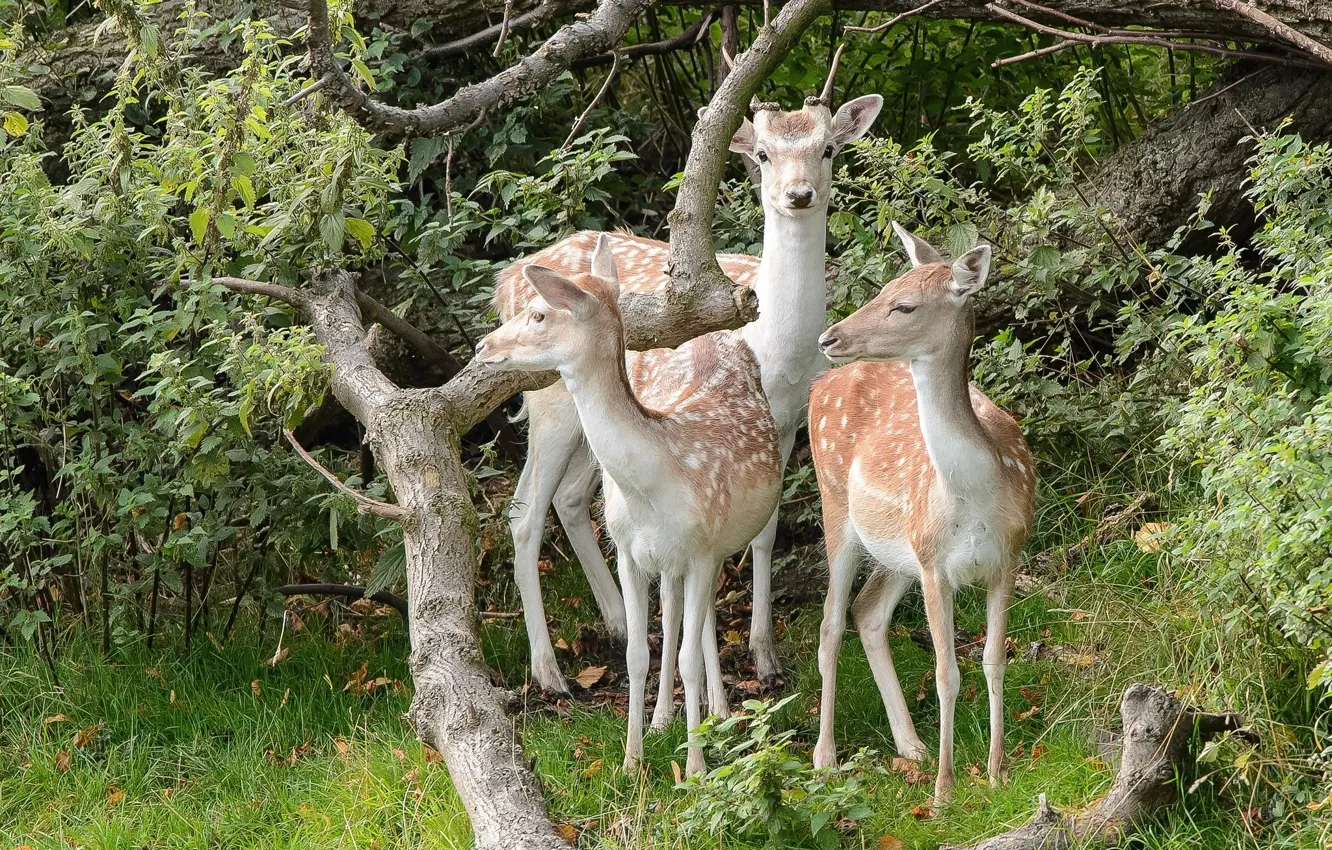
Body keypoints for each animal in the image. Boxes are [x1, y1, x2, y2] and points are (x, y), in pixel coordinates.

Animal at [477, 235, 782, 776]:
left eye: (539, 314)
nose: (482, 347)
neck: (654, 480)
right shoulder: (626, 551)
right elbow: (639, 654)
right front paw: (630, 761)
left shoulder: (701, 549)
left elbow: (686, 655)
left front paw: (696, 768)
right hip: (669, 558)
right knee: (678, 614)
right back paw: (665, 720)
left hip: (713, 546)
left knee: (697, 624)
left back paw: (716, 716)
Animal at [493, 70, 884, 701]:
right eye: (763, 154)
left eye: (828, 148)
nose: (799, 195)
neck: (778, 347)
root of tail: (505, 281)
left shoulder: (785, 421)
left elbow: (765, 532)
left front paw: (765, 656)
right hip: (547, 398)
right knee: (525, 509)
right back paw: (549, 672)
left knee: (571, 499)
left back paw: (618, 623)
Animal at [808, 224, 1037, 808]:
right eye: (885, 288)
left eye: (904, 305)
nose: (828, 338)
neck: (974, 498)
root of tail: (820, 385)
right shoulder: (937, 569)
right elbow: (946, 673)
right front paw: (944, 790)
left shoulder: (1007, 557)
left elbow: (994, 661)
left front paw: (997, 773)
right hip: (838, 510)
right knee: (830, 622)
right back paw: (825, 757)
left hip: (899, 550)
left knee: (867, 612)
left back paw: (910, 744)